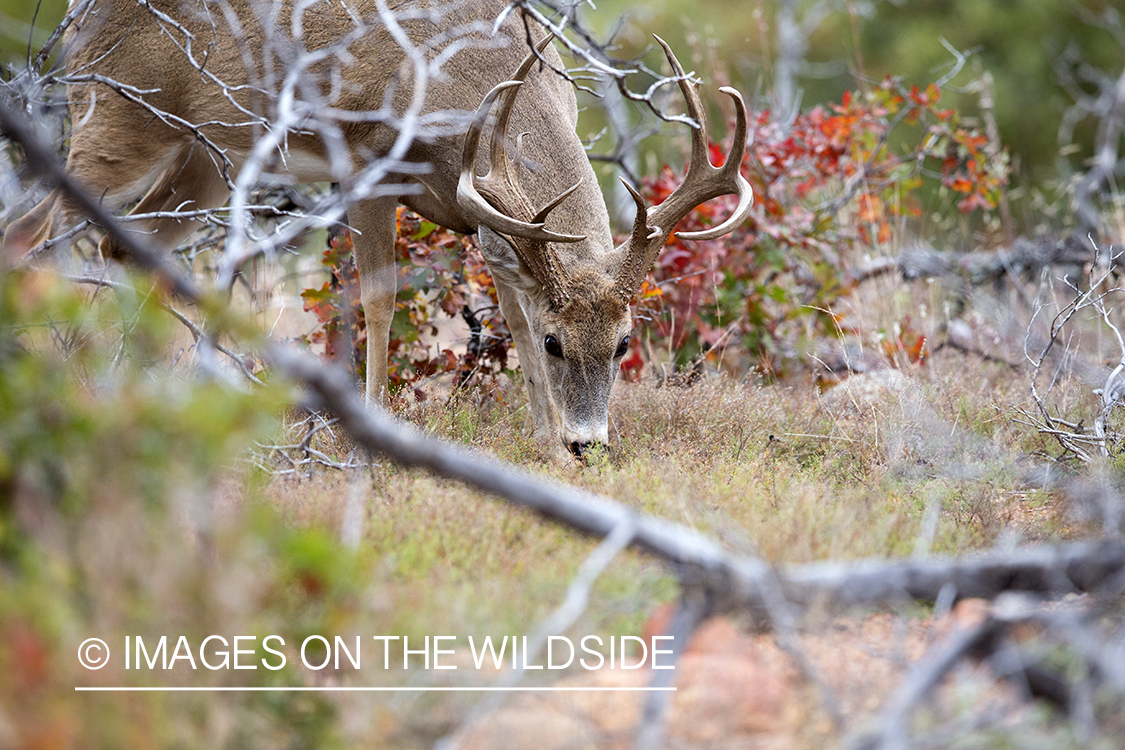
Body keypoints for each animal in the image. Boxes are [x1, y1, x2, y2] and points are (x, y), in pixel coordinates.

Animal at [6, 0, 756, 461]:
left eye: (624, 342)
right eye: (557, 344)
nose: (588, 444)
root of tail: (81, 16)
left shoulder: (489, 216)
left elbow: (510, 310)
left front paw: (543, 443)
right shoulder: (366, 162)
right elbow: (377, 298)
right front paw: (369, 434)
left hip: (203, 157)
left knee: (124, 244)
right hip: (117, 116)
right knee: (30, 234)